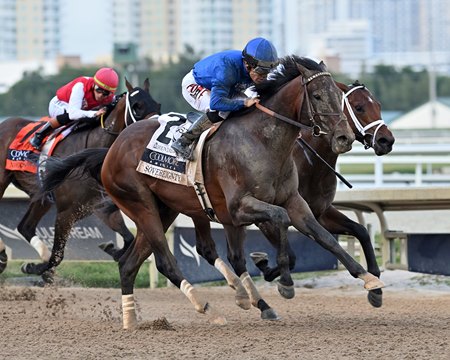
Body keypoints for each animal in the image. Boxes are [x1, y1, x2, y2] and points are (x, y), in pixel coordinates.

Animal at [0, 80, 161, 280]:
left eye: (157, 105)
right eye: (137, 106)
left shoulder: (98, 206)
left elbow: (128, 238)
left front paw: (112, 249)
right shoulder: (66, 212)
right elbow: (57, 256)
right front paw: (37, 269)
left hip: (43, 197)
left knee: (25, 227)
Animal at [39, 54, 384, 328]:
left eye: (338, 97)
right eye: (317, 95)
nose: (343, 137)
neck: (264, 140)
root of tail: (112, 148)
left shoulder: (297, 203)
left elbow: (325, 238)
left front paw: (371, 282)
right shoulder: (240, 208)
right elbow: (280, 222)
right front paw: (284, 281)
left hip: (165, 209)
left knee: (130, 264)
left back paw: (132, 320)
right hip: (141, 205)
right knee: (165, 261)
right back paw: (207, 307)